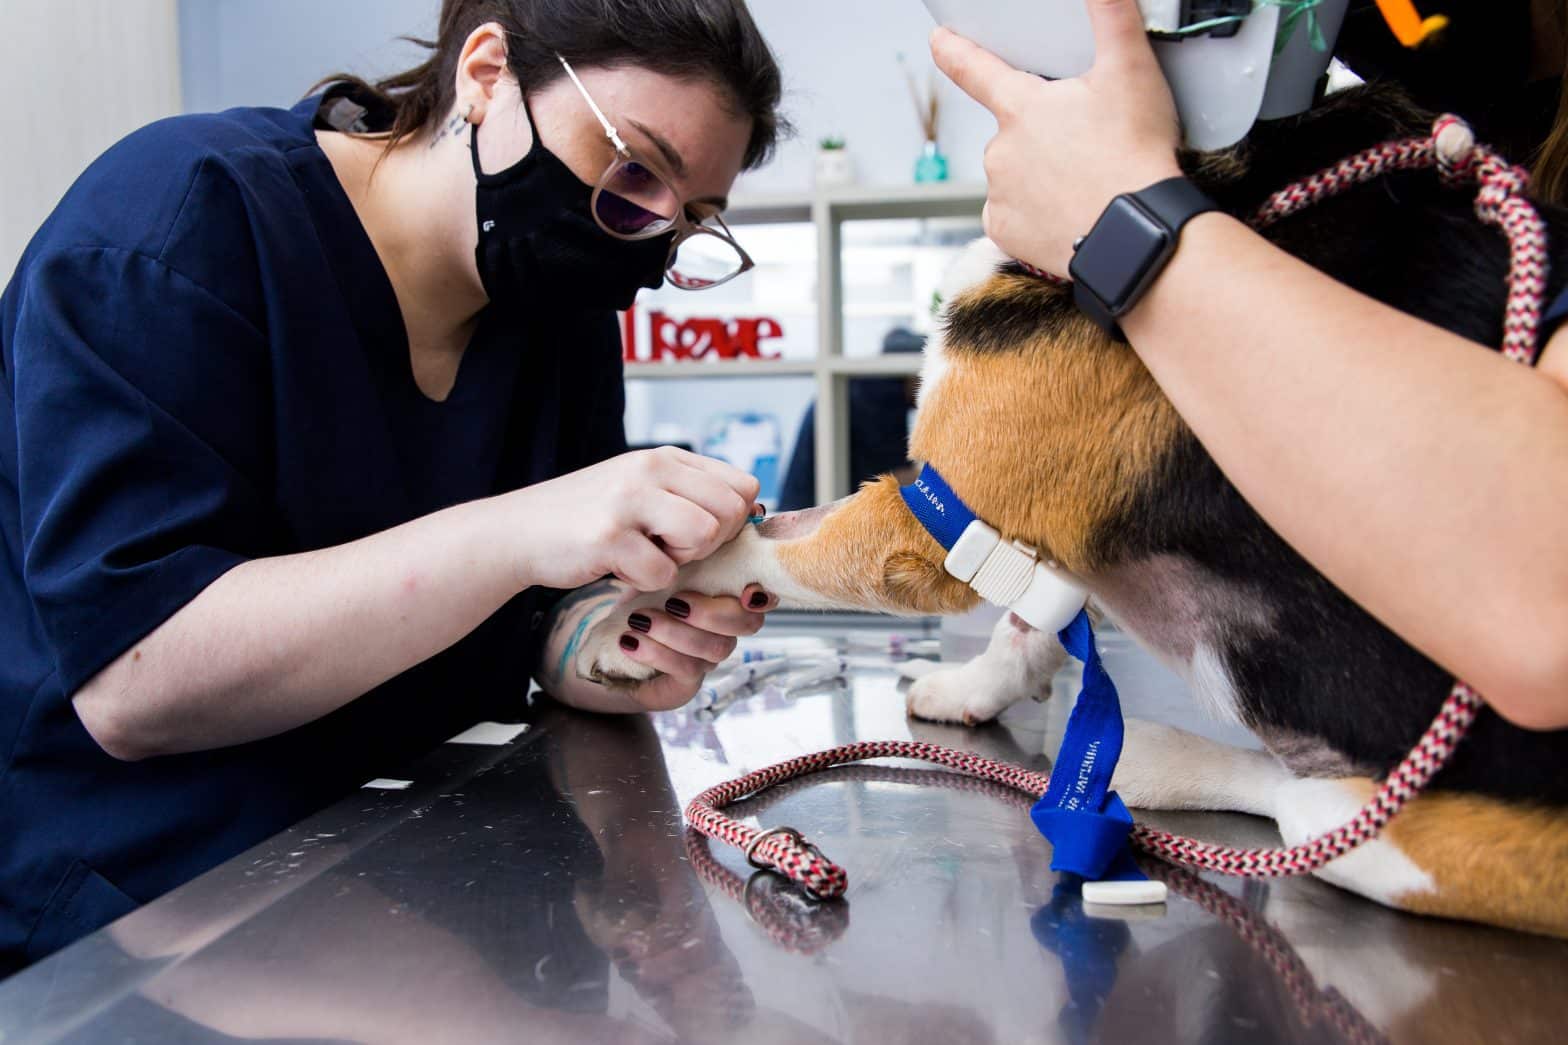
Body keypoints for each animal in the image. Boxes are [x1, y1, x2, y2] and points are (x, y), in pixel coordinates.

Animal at [573, 87, 1568, 935]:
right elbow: (1026, 622)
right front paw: (973, 690)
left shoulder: (924, 520)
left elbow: (754, 548)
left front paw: (622, 615)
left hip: (1401, 835)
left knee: (1297, 805)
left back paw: (1155, 758)